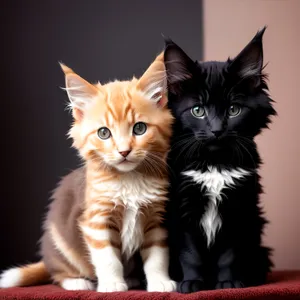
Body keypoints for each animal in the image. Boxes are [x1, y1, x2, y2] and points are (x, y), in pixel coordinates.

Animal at [0, 52, 176, 292]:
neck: (129, 179)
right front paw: (112, 284)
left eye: (139, 128)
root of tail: (47, 259)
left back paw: (131, 279)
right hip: (61, 247)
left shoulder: (156, 218)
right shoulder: (96, 219)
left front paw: (159, 281)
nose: (124, 151)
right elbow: (108, 258)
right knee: (57, 274)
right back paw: (77, 282)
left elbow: (157, 255)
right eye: (104, 133)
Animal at [165, 28, 276, 292]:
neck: (214, 163)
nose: (216, 130)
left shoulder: (238, 205)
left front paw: (228, 283)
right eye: (198, 110)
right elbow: (190, 255)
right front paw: (192, 283)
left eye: (234, 109)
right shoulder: (182, 209)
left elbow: (229, 255)